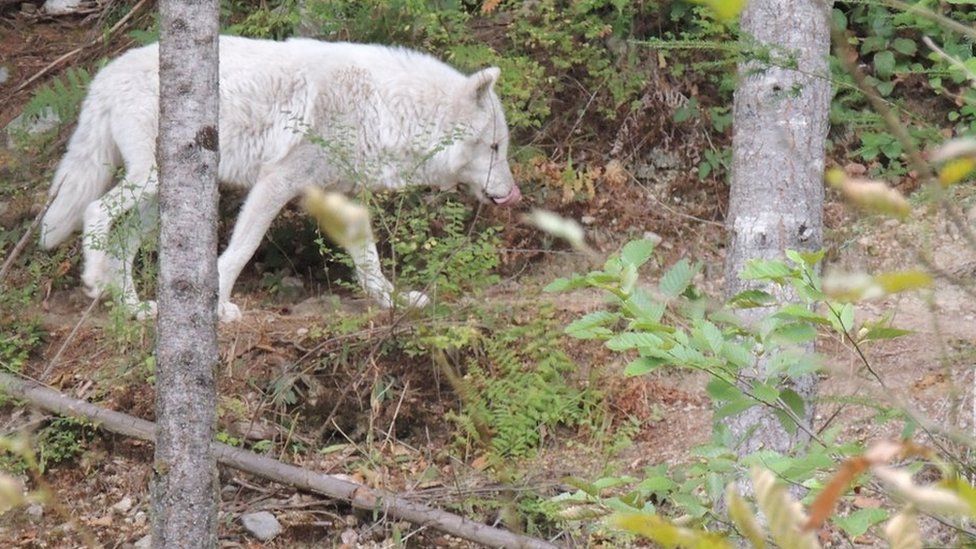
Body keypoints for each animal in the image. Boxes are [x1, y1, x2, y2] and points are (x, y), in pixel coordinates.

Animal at [41, 36, 524, 322]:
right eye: (495, 147)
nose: (513, 194)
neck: (382, 109)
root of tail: (103, 76)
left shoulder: (341, 196)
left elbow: (369, 262)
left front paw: (395, 302)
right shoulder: (276, 182)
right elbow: (241, 250)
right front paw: (219, 307)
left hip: (160, 197)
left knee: (122, 241)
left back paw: (134, 307)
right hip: (150, 180)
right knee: (95, 210)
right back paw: (94, 281)